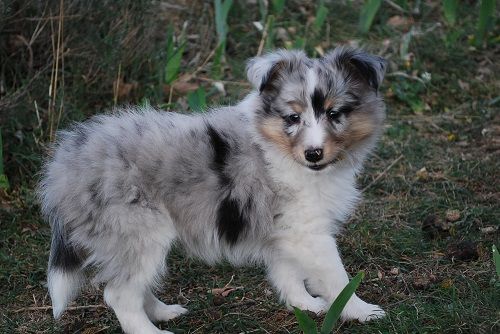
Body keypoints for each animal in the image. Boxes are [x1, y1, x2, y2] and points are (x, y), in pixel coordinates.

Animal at [39, 47, 388, 334]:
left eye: (334, 113)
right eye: (293, 117)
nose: (313, 154)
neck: (279, 148)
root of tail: (63, 168)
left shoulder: (283, 229)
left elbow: (287, 272)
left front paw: (304, 305)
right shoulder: (308, 233)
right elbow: (337, 278)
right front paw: (361, 310)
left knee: (135, 285)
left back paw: (163, 312)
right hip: (139, 231)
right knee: (119, 294)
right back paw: (151, 331)